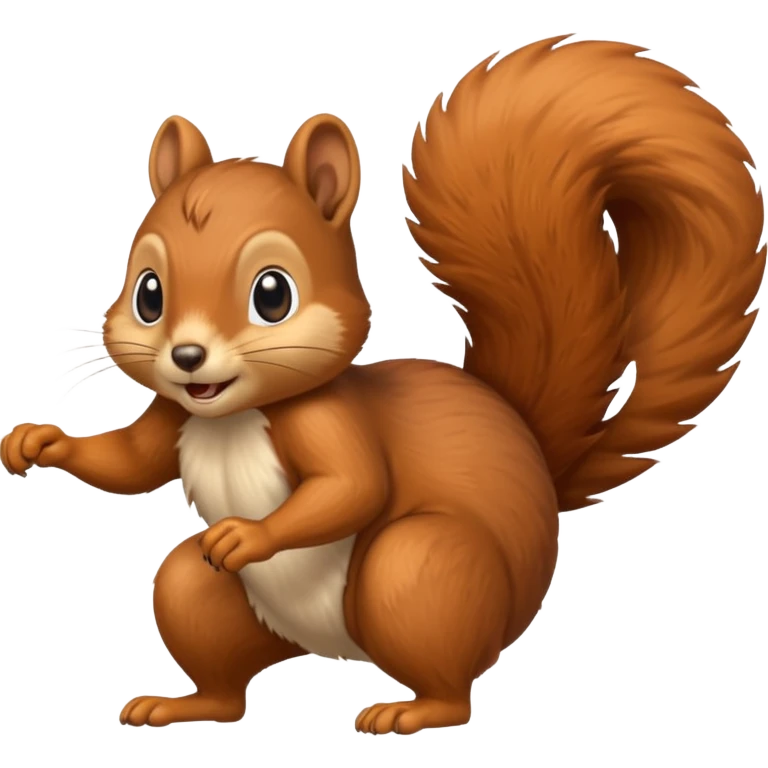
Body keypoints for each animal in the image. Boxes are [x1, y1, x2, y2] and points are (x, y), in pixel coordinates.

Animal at [1, 35, 764, 735]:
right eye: (149, 293)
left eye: (272, 294)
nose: (187, 357)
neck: (236, 414)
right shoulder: (175, 413)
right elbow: (130, 463)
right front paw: (39, 443)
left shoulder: (328, 421)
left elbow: (351, 486)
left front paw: (248, 536)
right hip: (206, 600)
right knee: (216, 656)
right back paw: (185, 703)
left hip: (418, 572)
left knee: (449, 678)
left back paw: (412, 710)